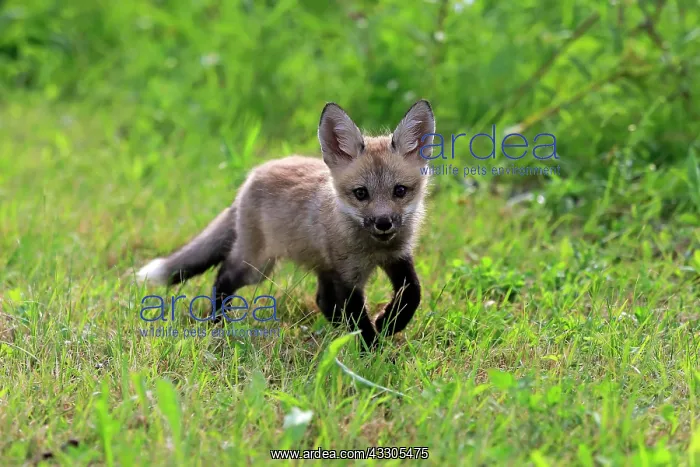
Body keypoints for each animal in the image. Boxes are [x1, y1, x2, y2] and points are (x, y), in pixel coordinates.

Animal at [136, 99, 436, 350]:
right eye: (361, 193)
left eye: (400, 191)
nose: (384, 223)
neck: (375, 249)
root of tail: (251, 177)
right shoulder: (347, 276)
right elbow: (359, 321)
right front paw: (373, 354)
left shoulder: (398, 257)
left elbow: (413, 293)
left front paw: (389, 323)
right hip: (257, 267)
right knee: (223, 276)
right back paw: (217, 322)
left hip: (315, 264)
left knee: (322, 300)